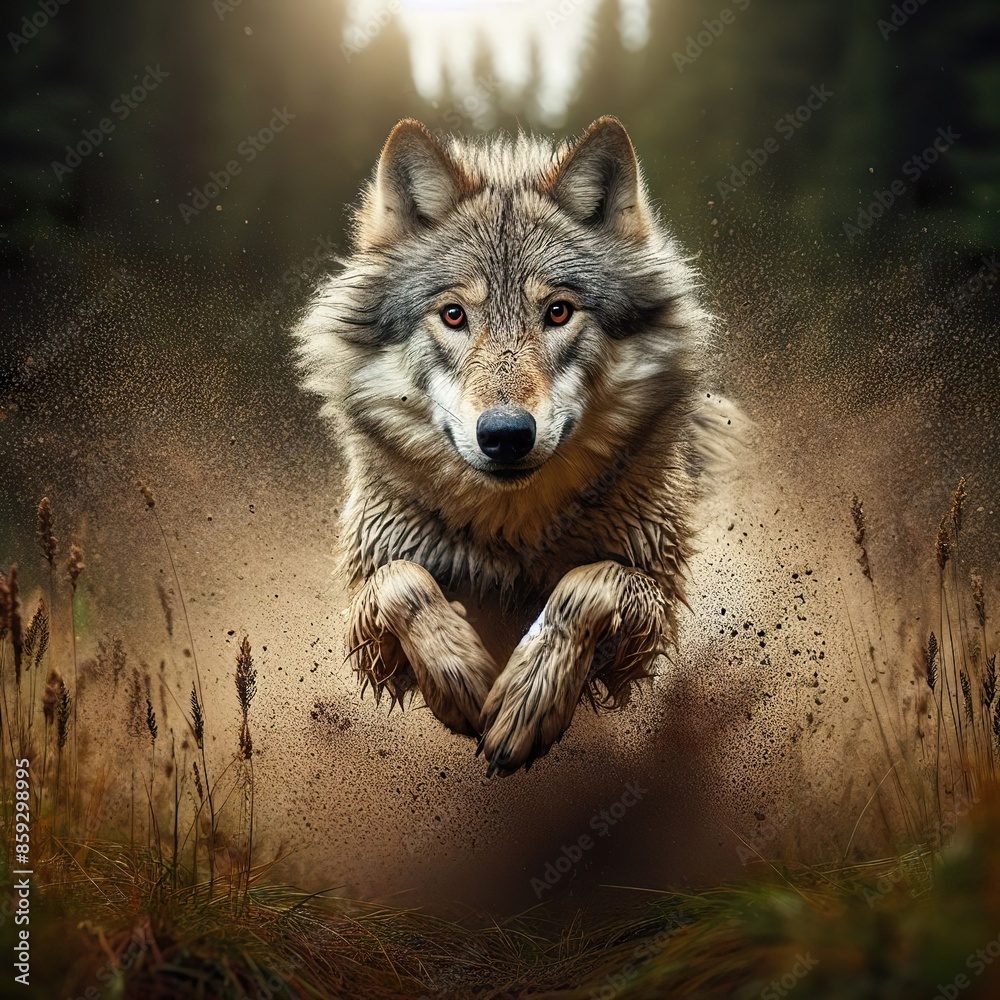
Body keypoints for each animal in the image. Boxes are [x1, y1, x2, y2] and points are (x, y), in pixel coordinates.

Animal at [295, 116, 729, 775]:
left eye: (558, 312)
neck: (512, 531)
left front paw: (526, 701)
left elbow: (588, 585)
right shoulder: (367, 617)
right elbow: (404, 583)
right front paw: (466, 679)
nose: (505, 434)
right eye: (453, 315)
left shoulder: (651, 606)